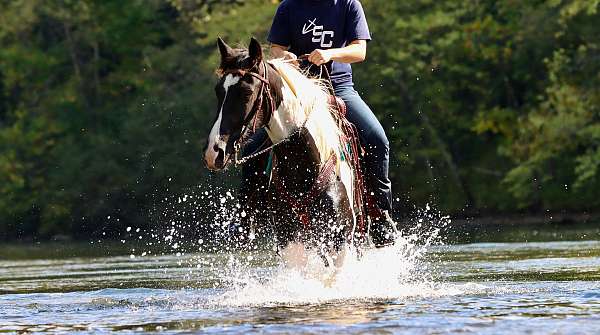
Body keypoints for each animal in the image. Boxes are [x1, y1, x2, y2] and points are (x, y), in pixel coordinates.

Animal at [205, 36, 366, 268]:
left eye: (247, 92)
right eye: (218, 91)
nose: (214, 151)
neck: (305, 166)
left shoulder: (340, 240)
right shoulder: (289, 241)